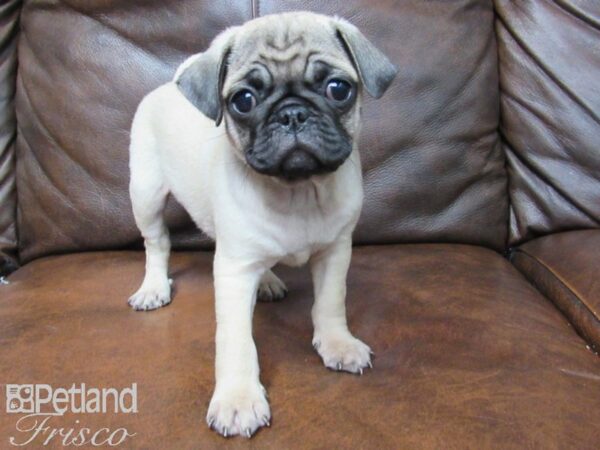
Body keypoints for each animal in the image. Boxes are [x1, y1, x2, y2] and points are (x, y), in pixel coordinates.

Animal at [129, 10, 396, 438]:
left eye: (339, 89)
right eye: (243, 100)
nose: (292, 113)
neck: (297, 191)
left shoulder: (335, 252)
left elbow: (330, 303)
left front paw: (337, 343)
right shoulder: (234, 272)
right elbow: (236, 340)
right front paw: (238, 398)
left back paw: (268, 281)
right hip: (147, 194)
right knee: (157, 243)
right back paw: (154, 286)